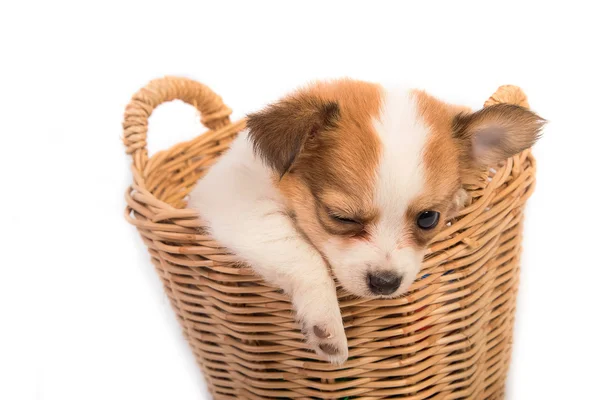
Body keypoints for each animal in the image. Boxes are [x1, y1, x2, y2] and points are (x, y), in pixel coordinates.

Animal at [190, 79, 548, 366]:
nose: (386, 283)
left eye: (429, 218)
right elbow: (300, 253)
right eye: (341, 217)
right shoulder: (237, 203)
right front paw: (326, 322)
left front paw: (459, 197)